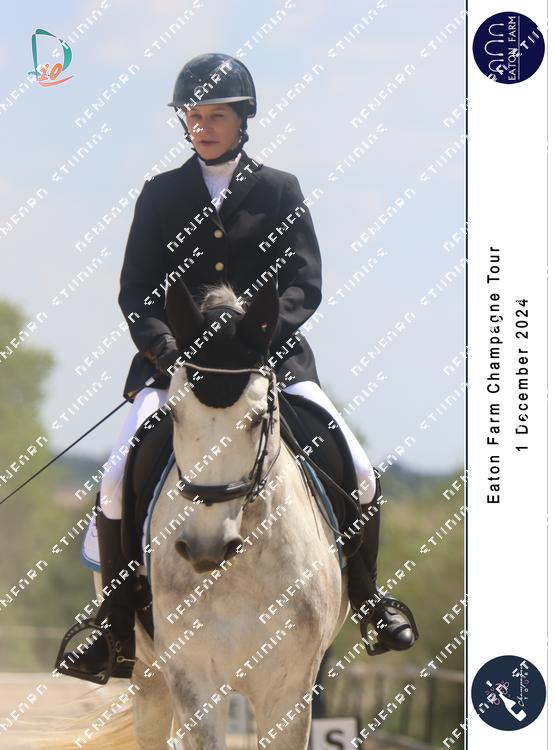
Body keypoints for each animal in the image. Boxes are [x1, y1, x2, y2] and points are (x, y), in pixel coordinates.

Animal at [82, 278, 350, 750]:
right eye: (174, 413)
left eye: (258, 417)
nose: (205, 547)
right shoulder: (194, 680)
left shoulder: (289, 690)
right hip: (148, 675)